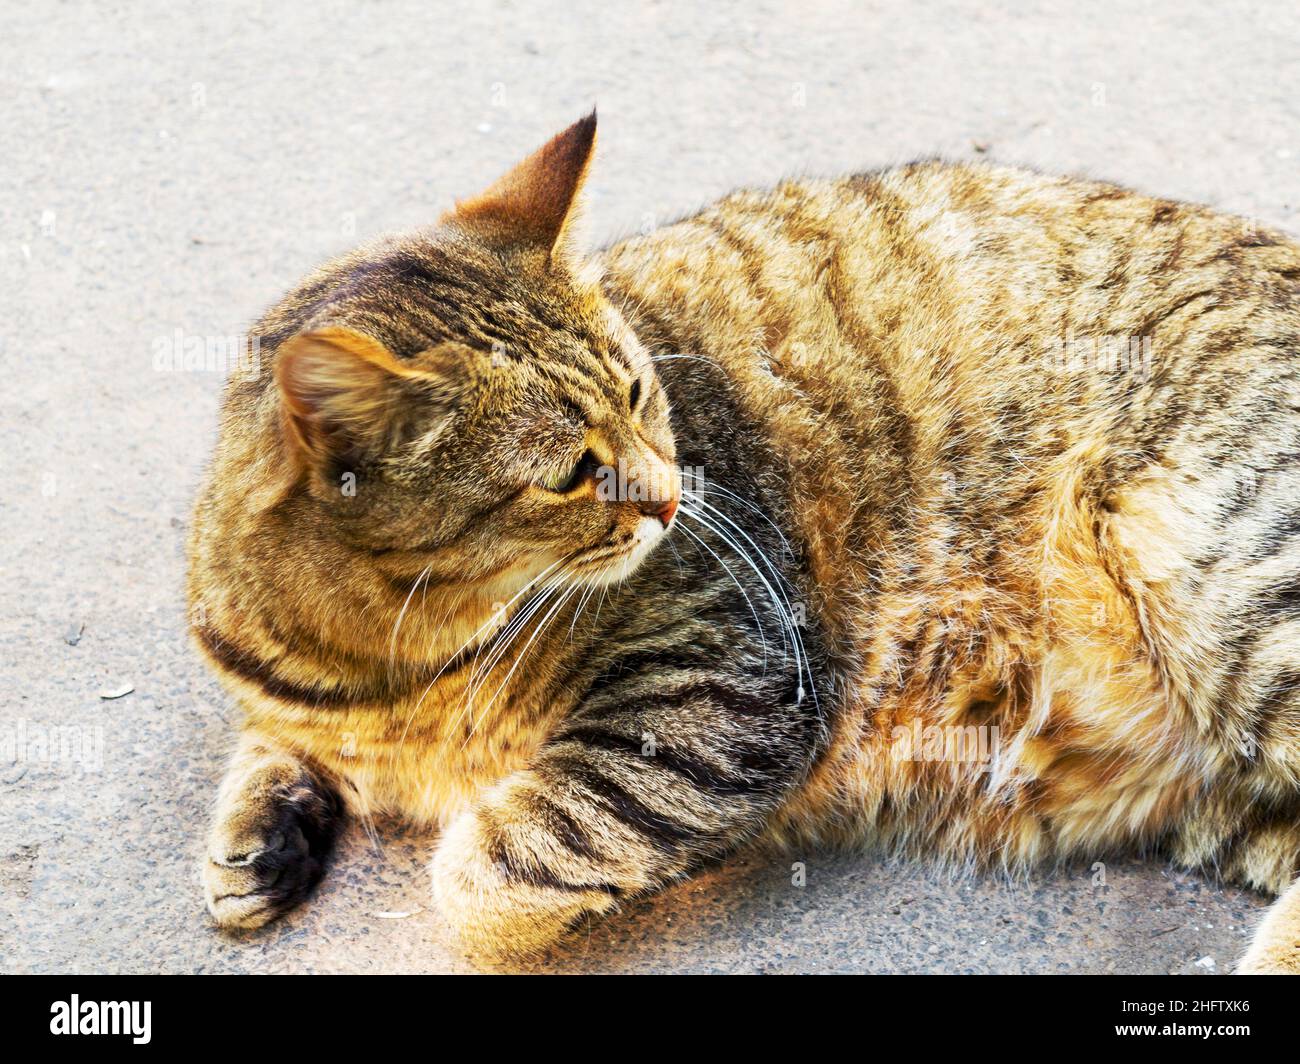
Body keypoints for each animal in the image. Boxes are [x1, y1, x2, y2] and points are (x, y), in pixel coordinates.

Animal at [188, 111, 1300, 967]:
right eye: (569, 472)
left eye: (642, 392)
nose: (670, 499)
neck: (389, 665)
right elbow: (272, 742)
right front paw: (261, 826)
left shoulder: (723, 685)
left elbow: (494, 872)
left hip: (1225, 579)